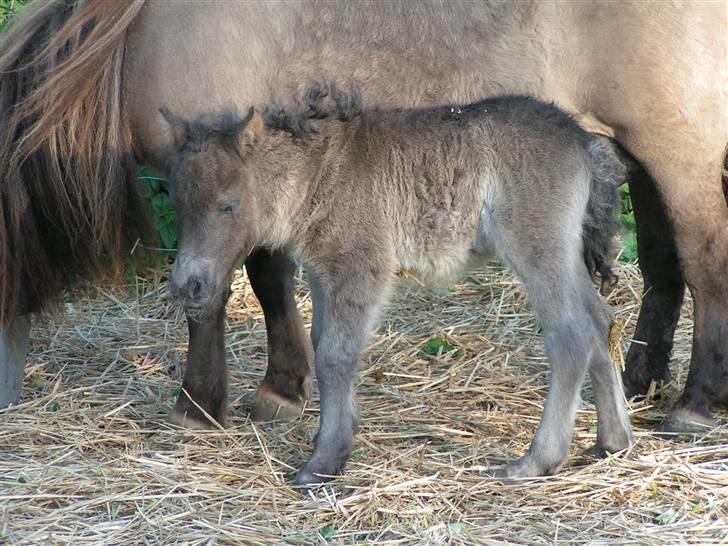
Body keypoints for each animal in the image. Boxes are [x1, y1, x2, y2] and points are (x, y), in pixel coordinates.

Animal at [164, 85, 632, 484]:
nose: (188, 285)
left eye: (228, 205)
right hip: (564, 252)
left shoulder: (360, 266)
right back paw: (613, 441)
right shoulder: (322, 272)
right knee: (600, 321)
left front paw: (324, 462)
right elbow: (321, 342)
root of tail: (584, 141)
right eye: (177, 203)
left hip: (536, 247)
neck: (318, 171)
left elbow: (335, 356)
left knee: (570, 335)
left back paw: (537, 460)